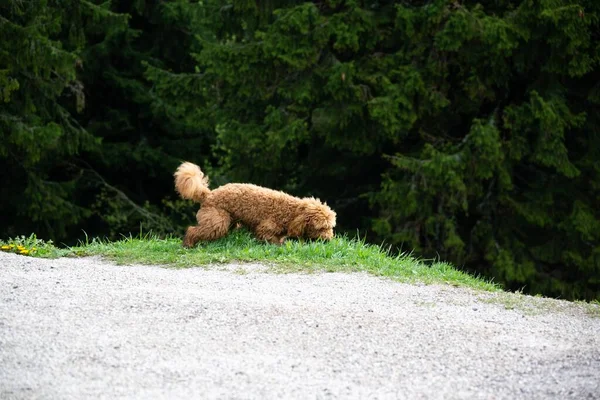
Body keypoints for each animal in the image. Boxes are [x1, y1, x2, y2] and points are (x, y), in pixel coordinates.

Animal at [173, 162, 338, 247]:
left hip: (229, 220)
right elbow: (270, 238)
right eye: (321, 227)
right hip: (217, 221)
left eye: (330, 227)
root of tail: (208, 194)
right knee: (192, 230)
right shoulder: (266, 228)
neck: (291, 212)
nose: (328, 240)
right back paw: (188, 245)